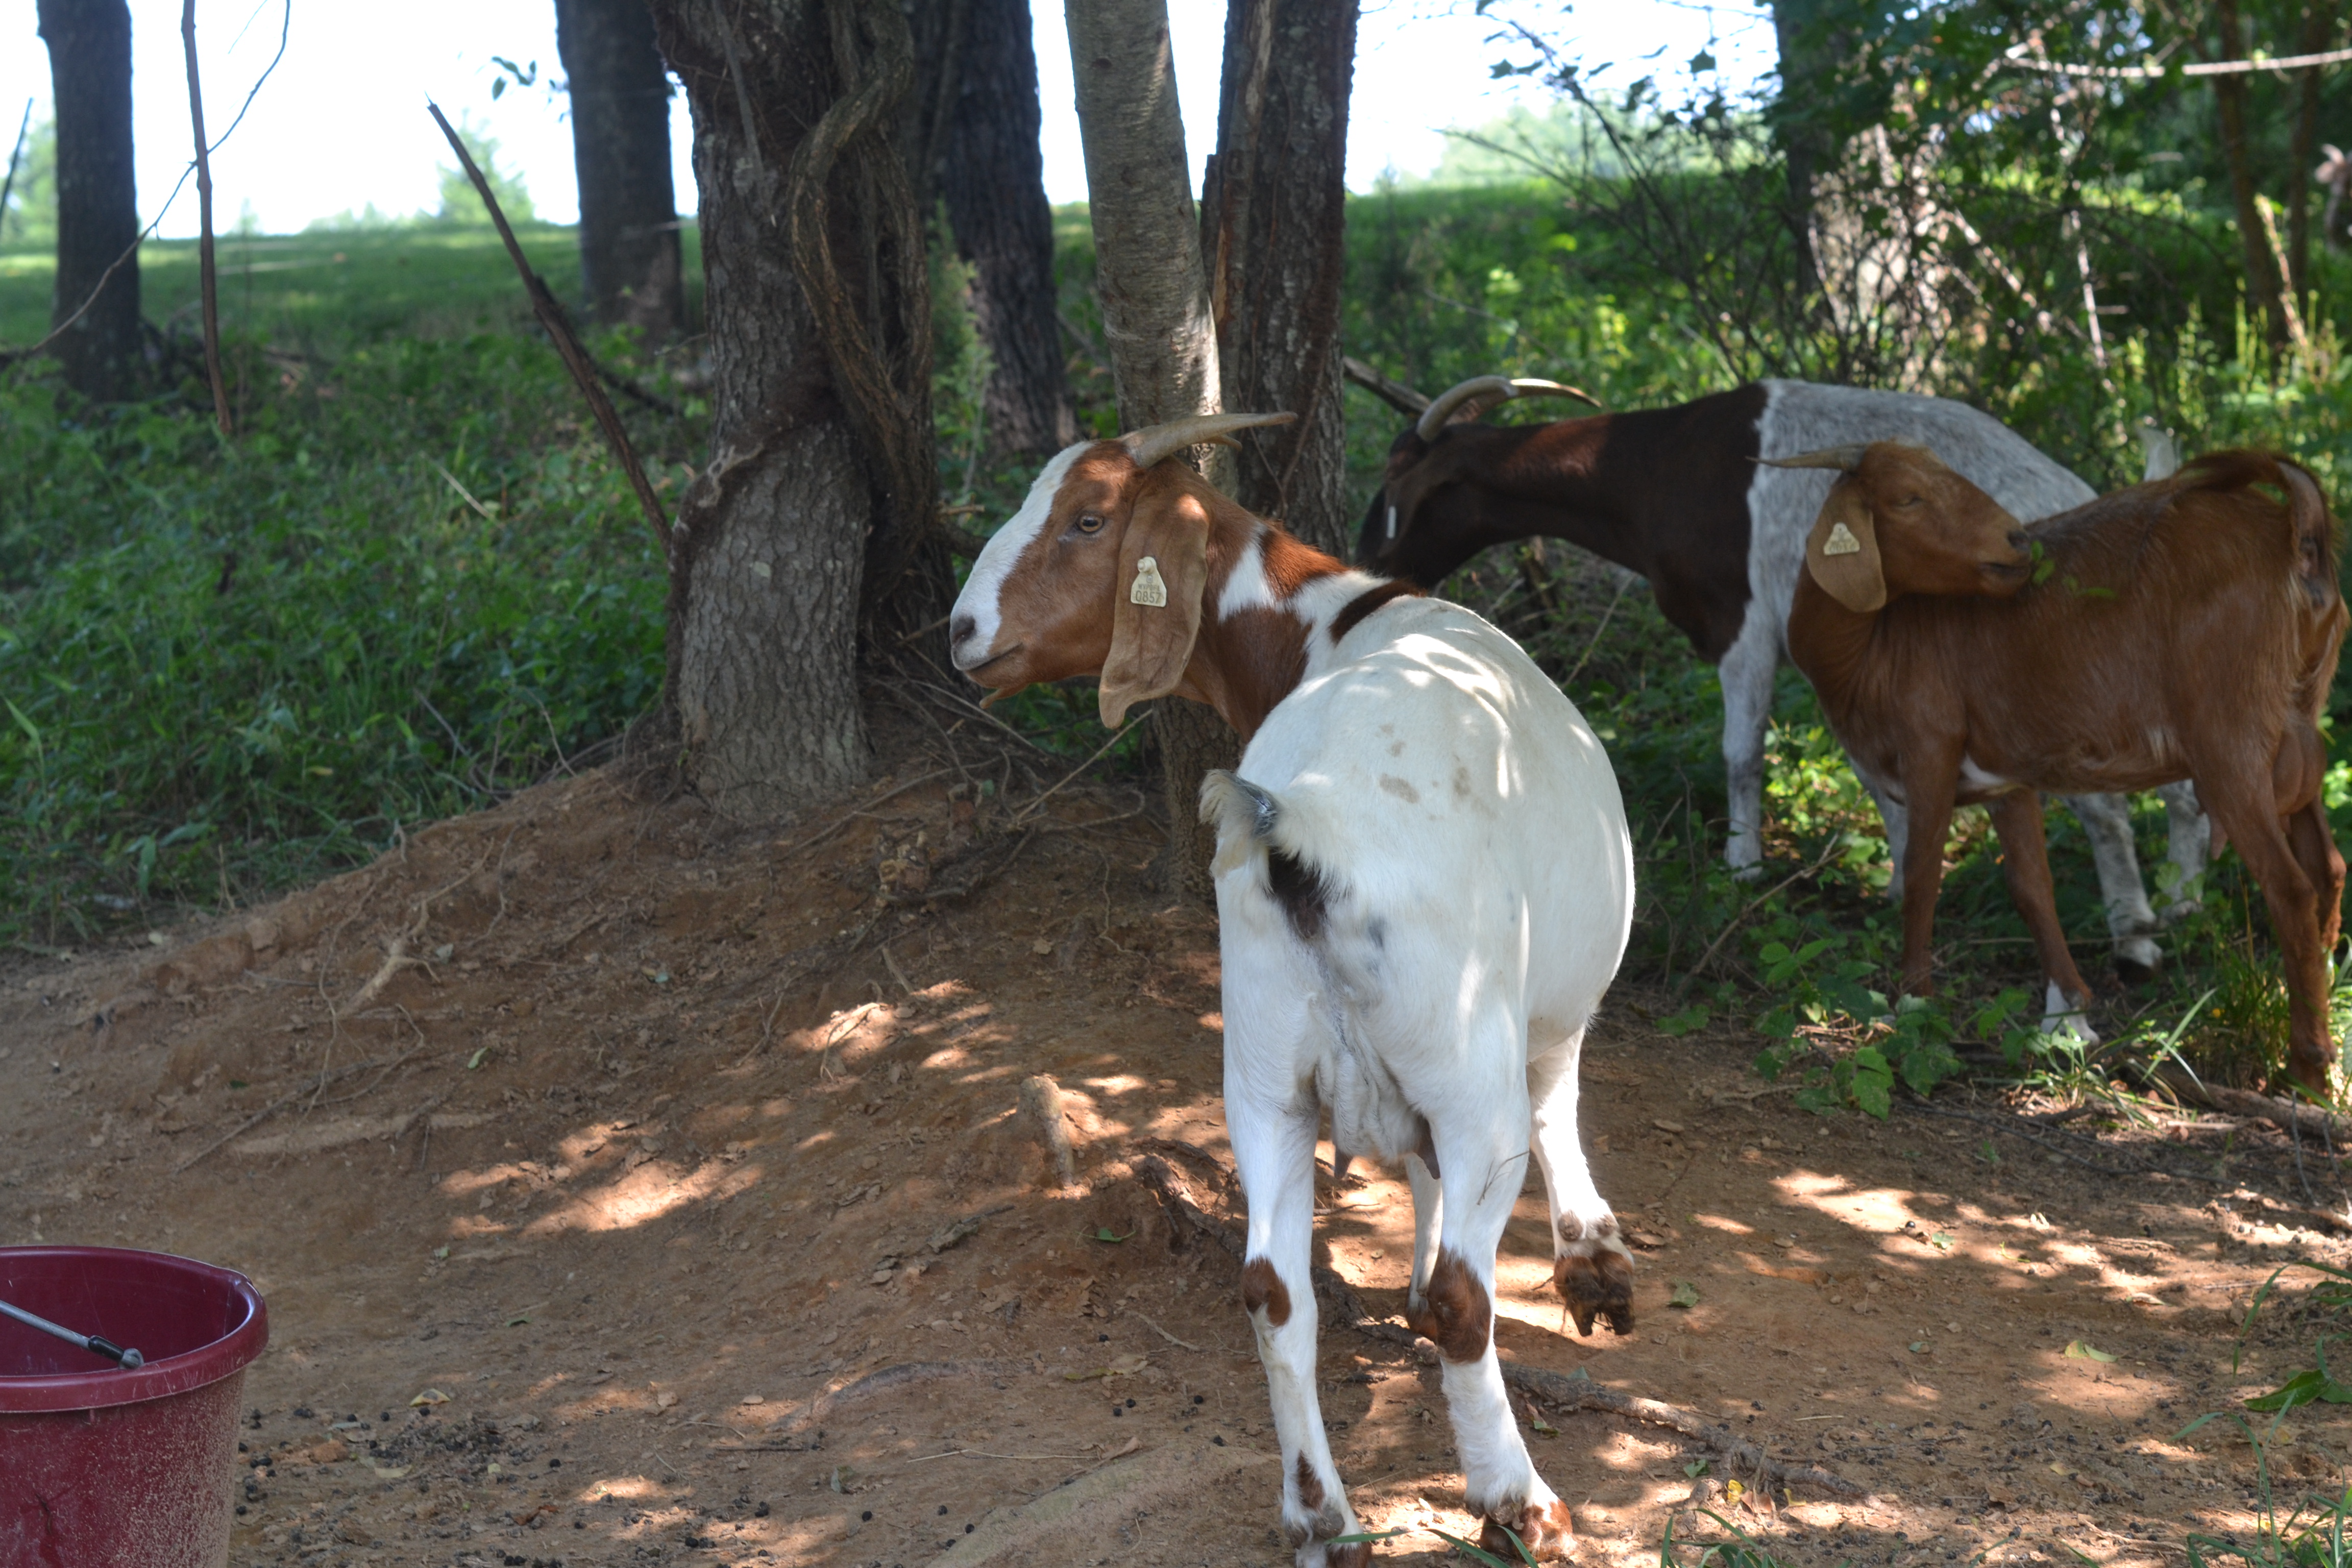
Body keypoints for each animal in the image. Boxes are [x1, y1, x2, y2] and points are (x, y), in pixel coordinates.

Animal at [950, 413, 1634, 1564]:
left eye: (1087, 519)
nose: (960, 631)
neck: (1339, 622)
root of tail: (1303, 832)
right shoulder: (1530, 1022)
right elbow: (1558, 1096)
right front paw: (1593, 1262)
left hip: (1263, 1068)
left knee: (1274, 1291)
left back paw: (1319, 1513)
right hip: (1460, 1058)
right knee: (1467, 1293)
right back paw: (1516, 1501)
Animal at [1350, 370, 2210, 979]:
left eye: (1395, 481)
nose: (1366, 562)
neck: (1654, 468)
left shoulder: (1742, 625)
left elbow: (1741, 753)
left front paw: (1743, 865)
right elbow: (1875, 777)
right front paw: (1895, 886)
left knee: (2104, 805)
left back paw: (2136, 935)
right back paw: (2181, 902)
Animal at [1775, 441, 2346, 1094]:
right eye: (1908, 498)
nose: (2017, 541)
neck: (1878, 644)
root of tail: (2298, 540)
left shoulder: (1930, 749)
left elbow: (1921, 877)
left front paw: (1912, 1007)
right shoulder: (2005, 777)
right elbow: (2032, 889)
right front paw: (2068, 1017)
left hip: (2231, 743)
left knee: (2291, 888)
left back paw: (2305, 1070)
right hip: (2299, 739)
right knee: (2328, 868)